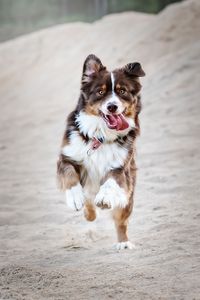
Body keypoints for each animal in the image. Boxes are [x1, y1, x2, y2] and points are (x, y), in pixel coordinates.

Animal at [57, 54, 145, 251]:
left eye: (122, 91)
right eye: (100, 92)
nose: (112, 106)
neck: (100, 136)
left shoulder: (121, 168)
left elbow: (111, 181)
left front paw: (104, 198)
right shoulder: (66, 157)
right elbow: (69, 174)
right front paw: (75, 197)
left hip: (128, 197)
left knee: (121, 221)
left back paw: (123, 242)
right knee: (89, 202)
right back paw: (88, 210)